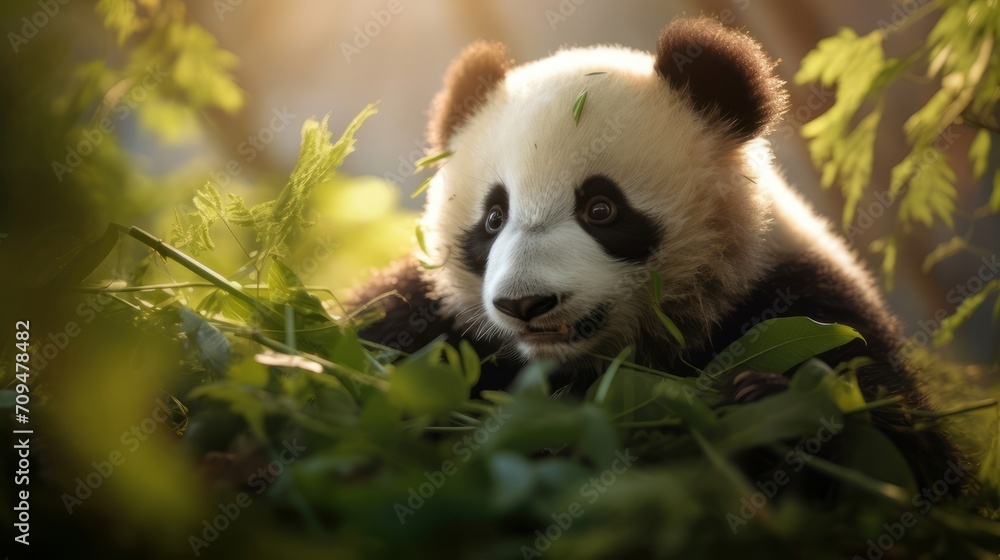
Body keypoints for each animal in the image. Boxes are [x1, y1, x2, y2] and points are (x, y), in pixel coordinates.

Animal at [354, 18, 966, 490]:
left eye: (601, 209)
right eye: (493, 218)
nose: (525, 304)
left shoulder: (797, 293)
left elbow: (906, 451)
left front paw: (763, 403)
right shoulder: (425, 318)